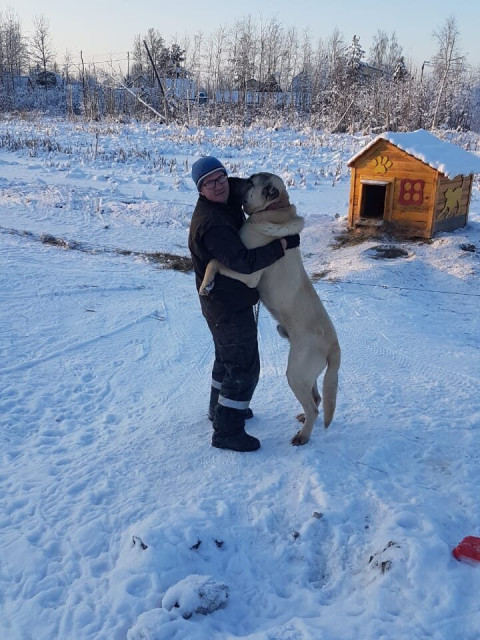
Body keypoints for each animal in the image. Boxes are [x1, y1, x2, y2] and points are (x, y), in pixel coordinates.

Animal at [200, 172, 342, 448]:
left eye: (250, 181)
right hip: (306, 374)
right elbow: (215, 260)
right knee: (316, 399)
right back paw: (303, 420)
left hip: (295, 373)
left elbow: (214, 261)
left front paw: (205, 283)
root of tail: (334, 345)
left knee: (314, 407)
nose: (231, 178)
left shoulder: (248, 273)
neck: (273, 211)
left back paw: (303, 435)